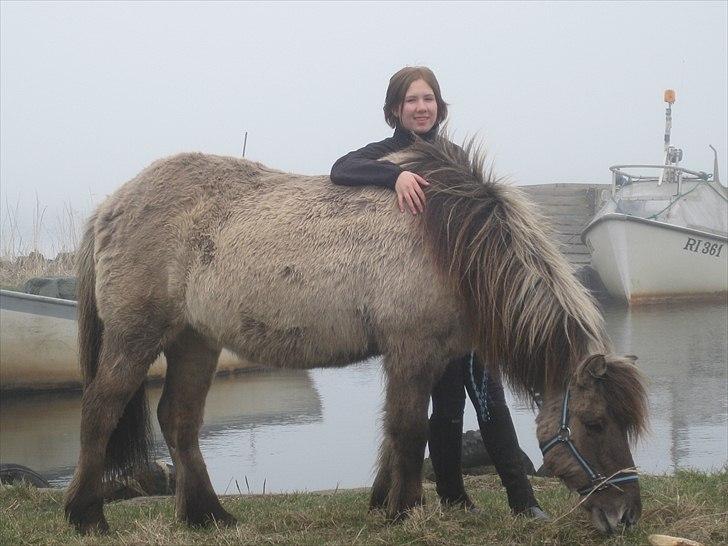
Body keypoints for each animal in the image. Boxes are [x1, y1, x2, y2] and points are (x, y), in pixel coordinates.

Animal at [64, 135, 648, 532]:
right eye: (594, 423)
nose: (626, 514)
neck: (449, 236)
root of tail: (110, 206)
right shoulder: (412, 350)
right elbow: (410, 429)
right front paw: (406, 511)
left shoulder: (432, 355)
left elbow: (404, 429)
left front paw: (385, 503)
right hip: (136, 337)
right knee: (100, 410)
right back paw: (87, 515)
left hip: (193, 340)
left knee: (179, 420)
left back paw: (208, 516)